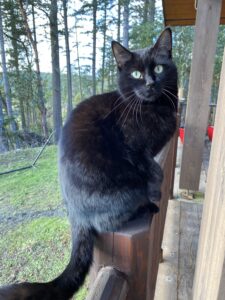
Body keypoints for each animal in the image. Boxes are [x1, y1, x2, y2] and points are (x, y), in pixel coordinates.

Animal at [0, 27, 178, 298]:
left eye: (158, 68)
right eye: (136, 74)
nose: (150, 83)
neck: (153, 108)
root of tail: (74, 213)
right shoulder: (135, 149)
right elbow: (154, 171)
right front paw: (156, 194)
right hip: (121, 189)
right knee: (106, 221)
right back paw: (144, 207)